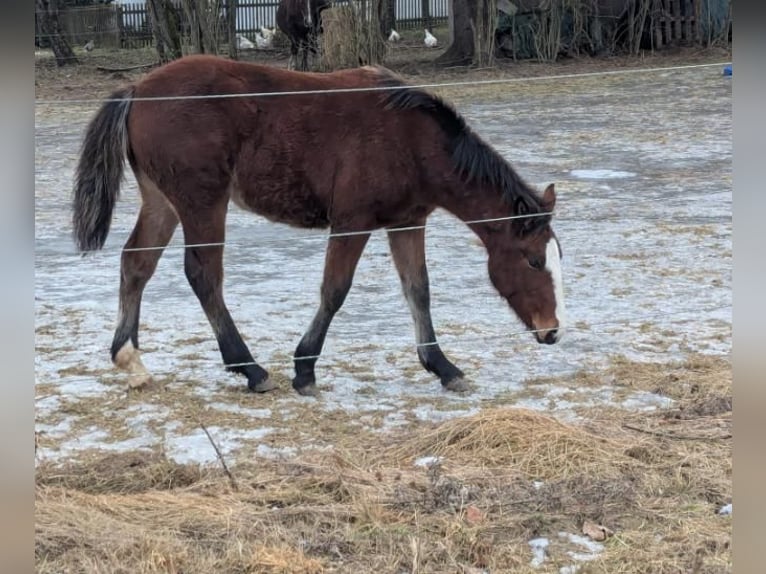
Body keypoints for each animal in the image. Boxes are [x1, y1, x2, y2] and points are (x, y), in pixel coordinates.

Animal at [72, 56, 568, 398]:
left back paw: (130, 360)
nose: (552, 331)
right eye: (533, 260)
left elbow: (418, 291)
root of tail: (137, 88)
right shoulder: (352, 223)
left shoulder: (407, 223)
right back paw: (250, 369)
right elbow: (335, 290)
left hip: (163, 202)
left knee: (137, 263)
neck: (412, 140)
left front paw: (443, 367)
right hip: (203, 202)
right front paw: (305, 369)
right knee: (202, 274)